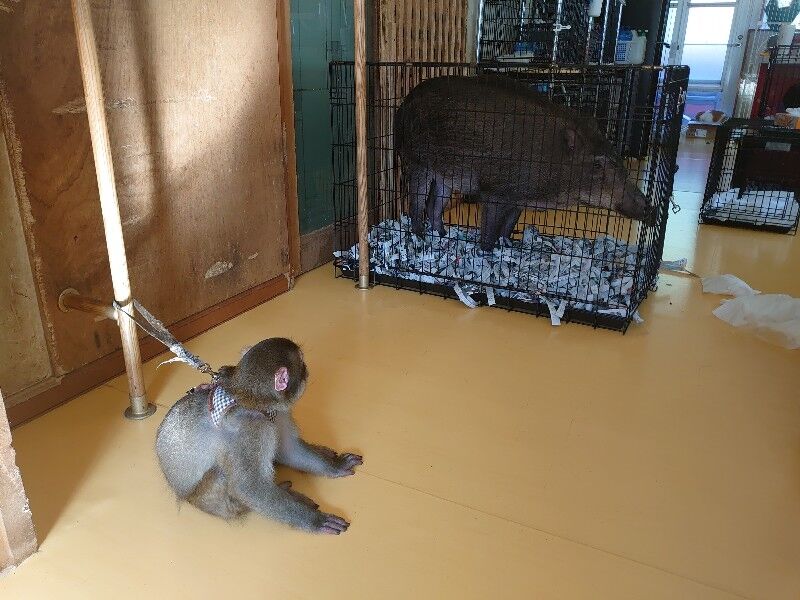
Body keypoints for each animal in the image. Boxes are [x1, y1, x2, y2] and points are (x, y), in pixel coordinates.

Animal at [155, 337, 363, 534]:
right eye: (302, 363)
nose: (307, 370)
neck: (252, 402)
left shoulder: (277, 415)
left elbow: (289, 450)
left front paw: (335, 466)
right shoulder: (250, 430)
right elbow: (248, 487)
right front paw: (315, 520)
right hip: (213, 502)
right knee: (223, 473)